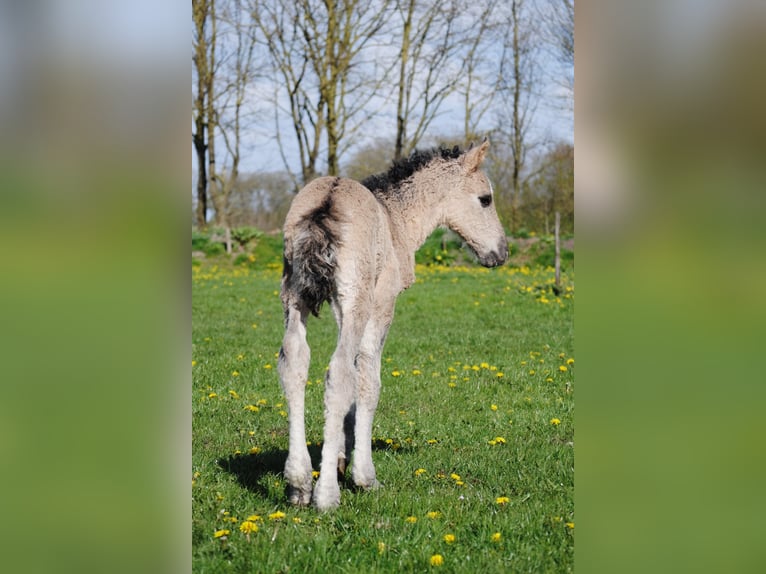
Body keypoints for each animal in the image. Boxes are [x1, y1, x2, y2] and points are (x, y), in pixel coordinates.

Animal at [278, 138, 508, 510]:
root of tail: (326, 203)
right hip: (355, 299)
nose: (500, 253)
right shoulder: (379, 303)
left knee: (294, 363)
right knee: (338, 374)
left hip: (294, 298)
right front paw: (362, 475)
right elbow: (368, 380)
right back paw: (326, 495)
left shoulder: (340, 308)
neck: (394, 220)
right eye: (485, 199)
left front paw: (340, 457)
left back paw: (298, 485)